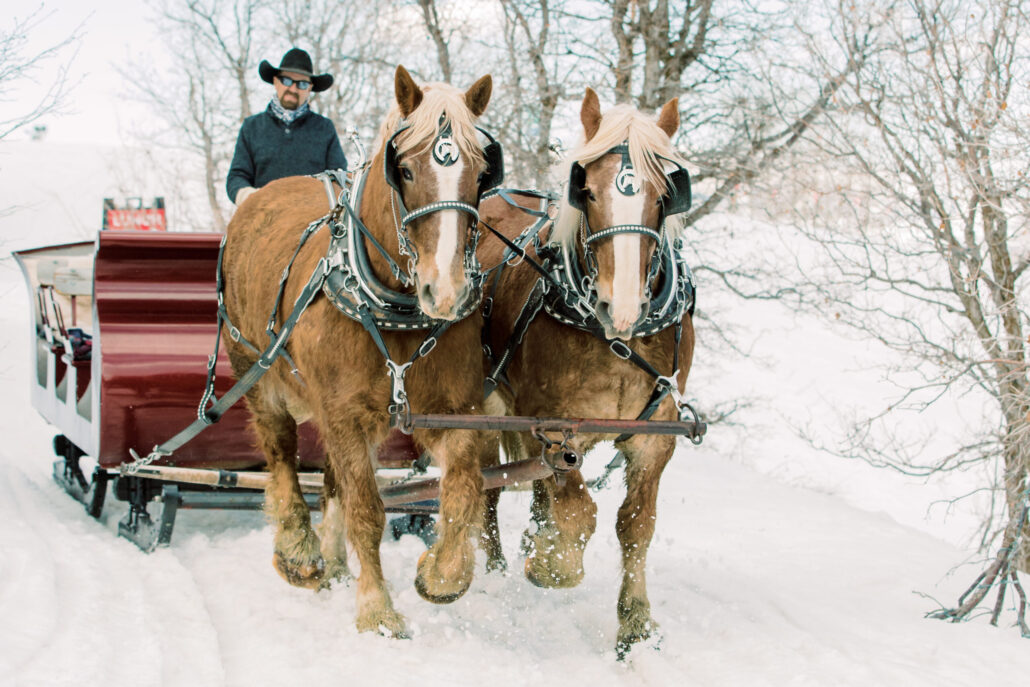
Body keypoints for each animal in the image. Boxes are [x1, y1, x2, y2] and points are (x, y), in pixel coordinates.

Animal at [221, 65, 499, 637]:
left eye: (483, 174)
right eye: (405, 170)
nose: (447, 292)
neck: (396, 309)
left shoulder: (450, 412)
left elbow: (463, 488)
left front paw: (442, 574)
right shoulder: (344, 413)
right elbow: (368, 511)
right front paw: (376, 610)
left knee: (332, 481)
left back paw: (330, 561)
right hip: (257, 374)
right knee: (282, 454)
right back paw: (299, 551)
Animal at [476, 87, 695, 657]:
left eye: (664, 197)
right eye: (588, 192)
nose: (622, 307)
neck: (614, 340)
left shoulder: (656, 435)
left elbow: (636, 525)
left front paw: (636, 625)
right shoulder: (556, 425)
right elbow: (579, 512)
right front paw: (553, 566)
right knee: (485, 487)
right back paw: (493, 567)